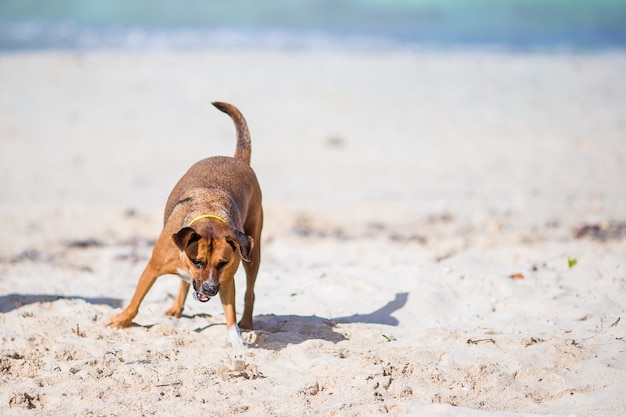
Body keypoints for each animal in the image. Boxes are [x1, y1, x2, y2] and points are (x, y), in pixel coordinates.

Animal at [108, 102, 260, 346]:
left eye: (222, 263)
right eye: (197, 261)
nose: (210, 289)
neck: (208, 214)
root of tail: (237, 159)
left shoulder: (227, 280)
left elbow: (230, 314)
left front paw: (237, 341)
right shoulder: (153, 268)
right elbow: (136, 301)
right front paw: (122, 320)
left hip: (253, 252)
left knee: (250, 291)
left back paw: (246, 322)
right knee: (184, 282)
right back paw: (176, 308)